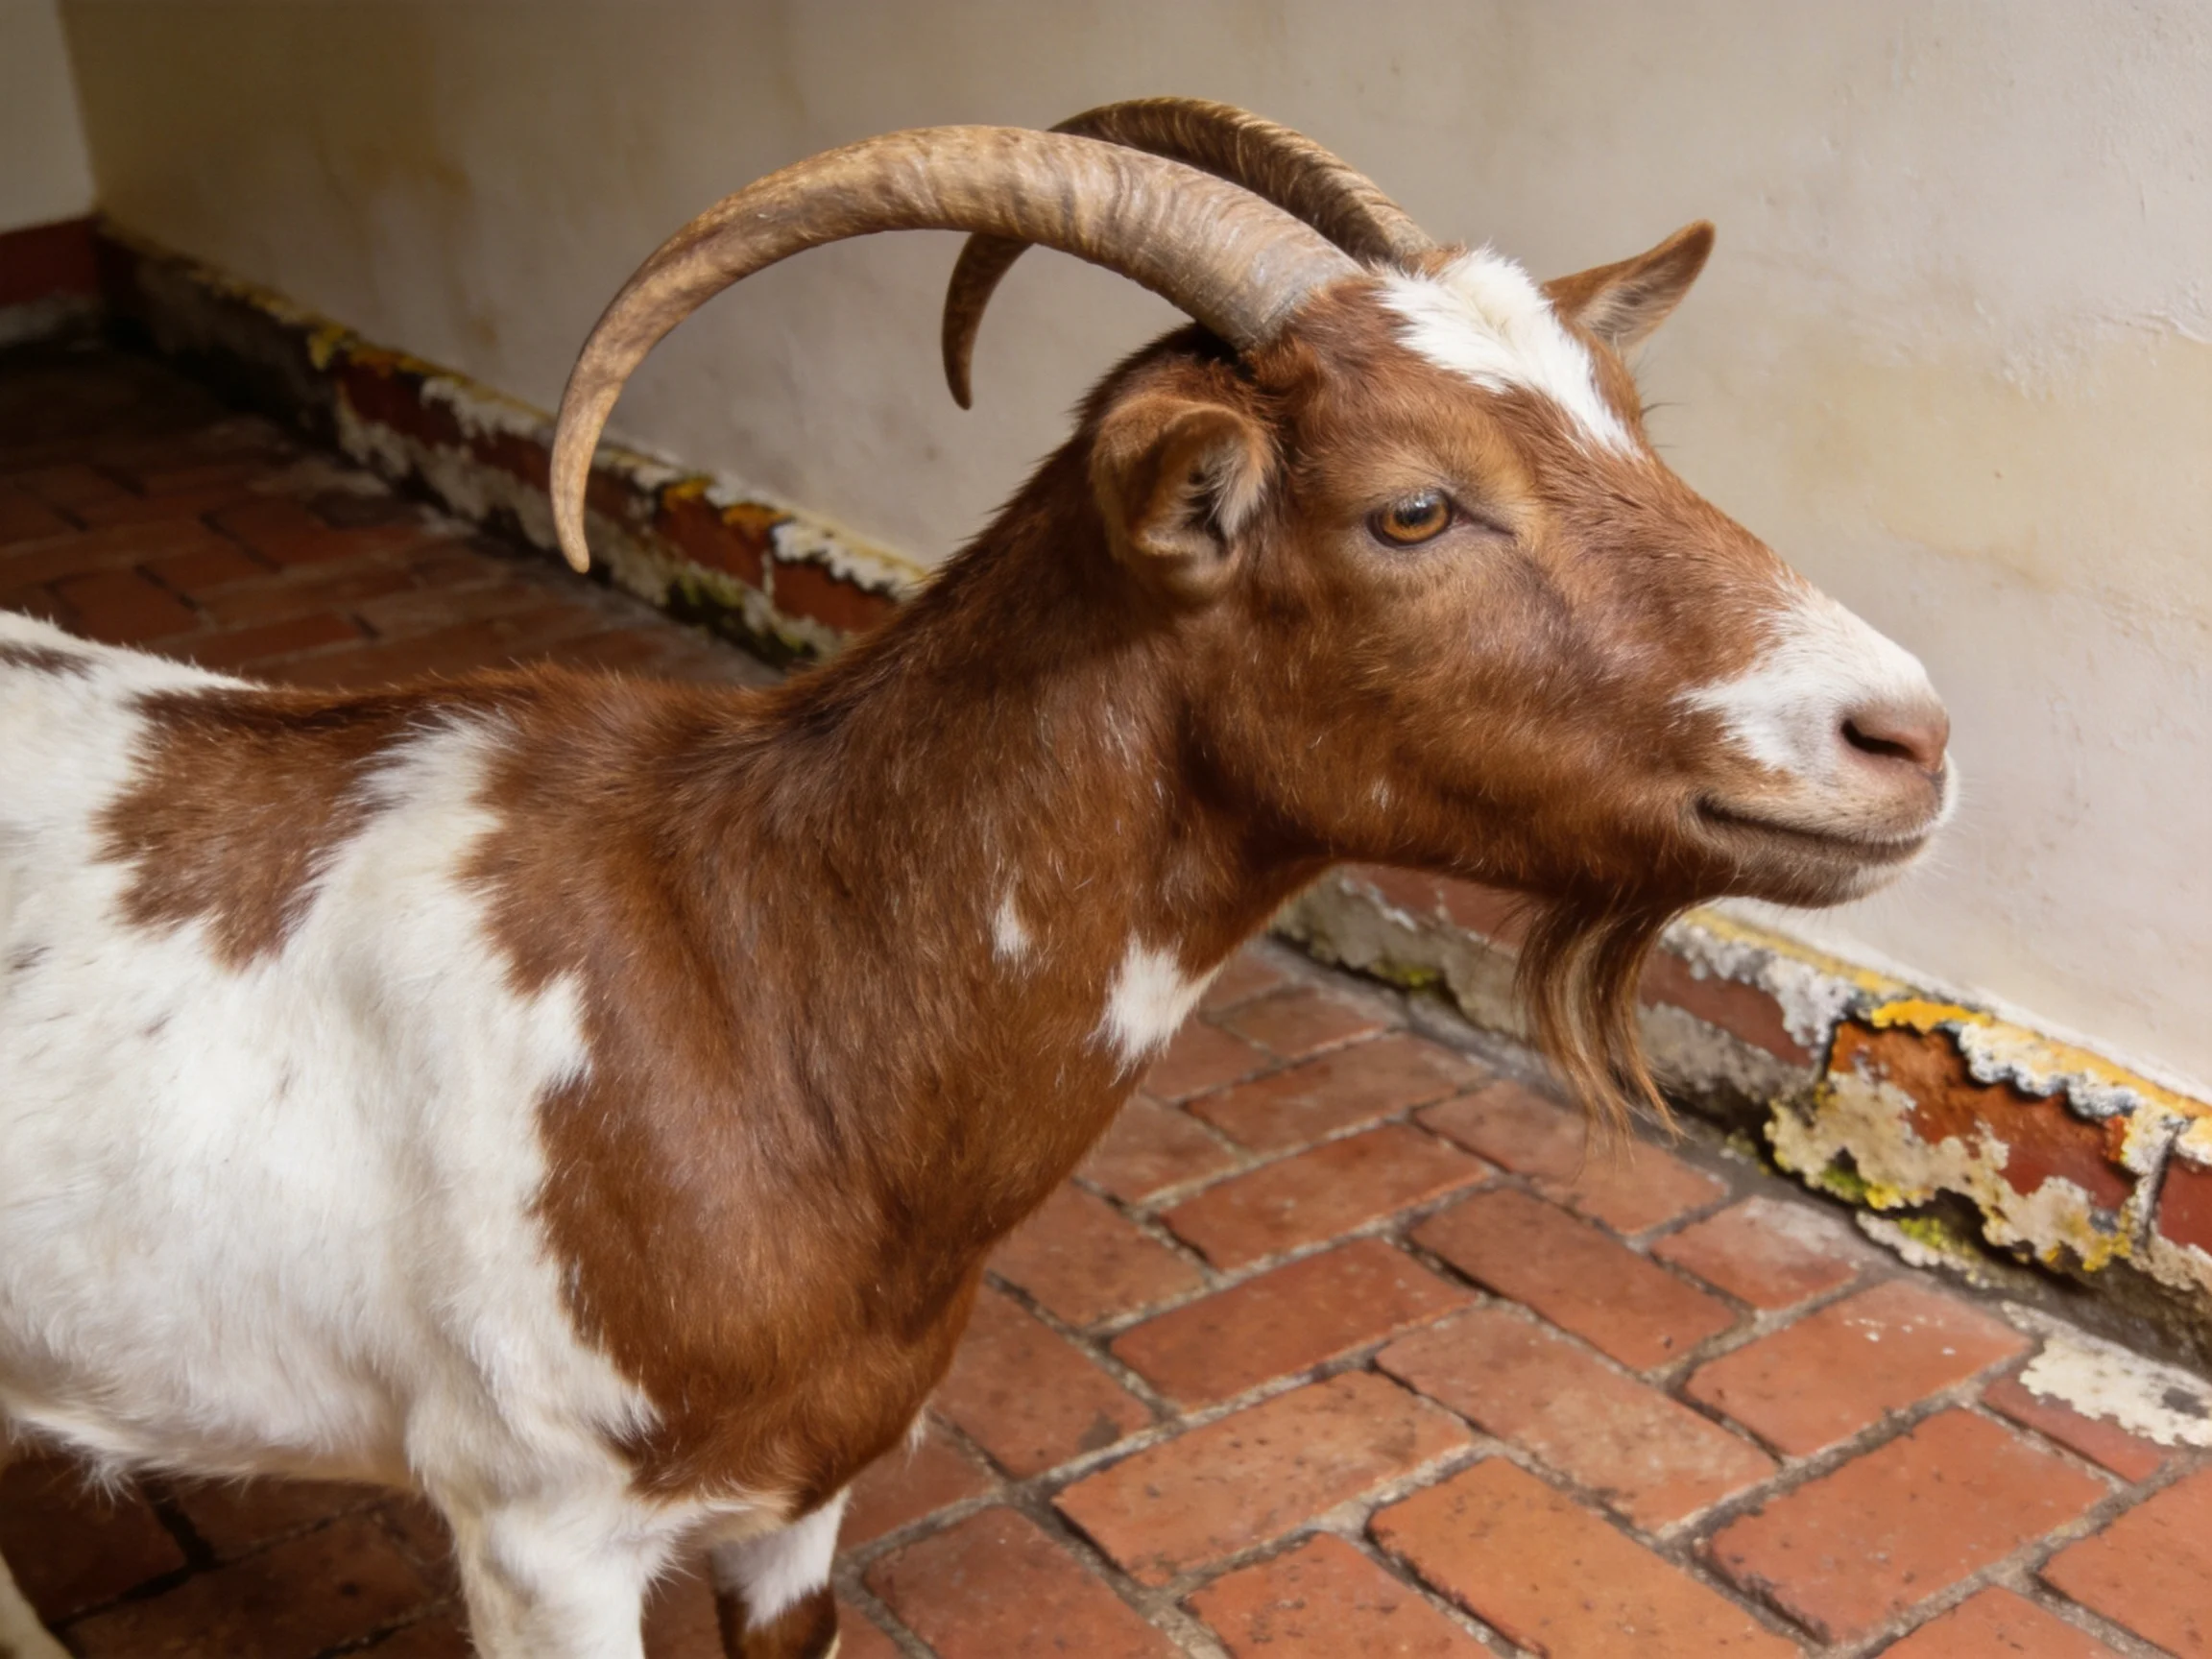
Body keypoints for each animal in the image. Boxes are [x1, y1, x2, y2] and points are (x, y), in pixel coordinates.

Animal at [0, 102, 1950, 1659]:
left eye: (1632, 420)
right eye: (1412, 509)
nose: (1905, 735)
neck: (755, 990)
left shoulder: (800, 1495)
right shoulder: (538, 1528)